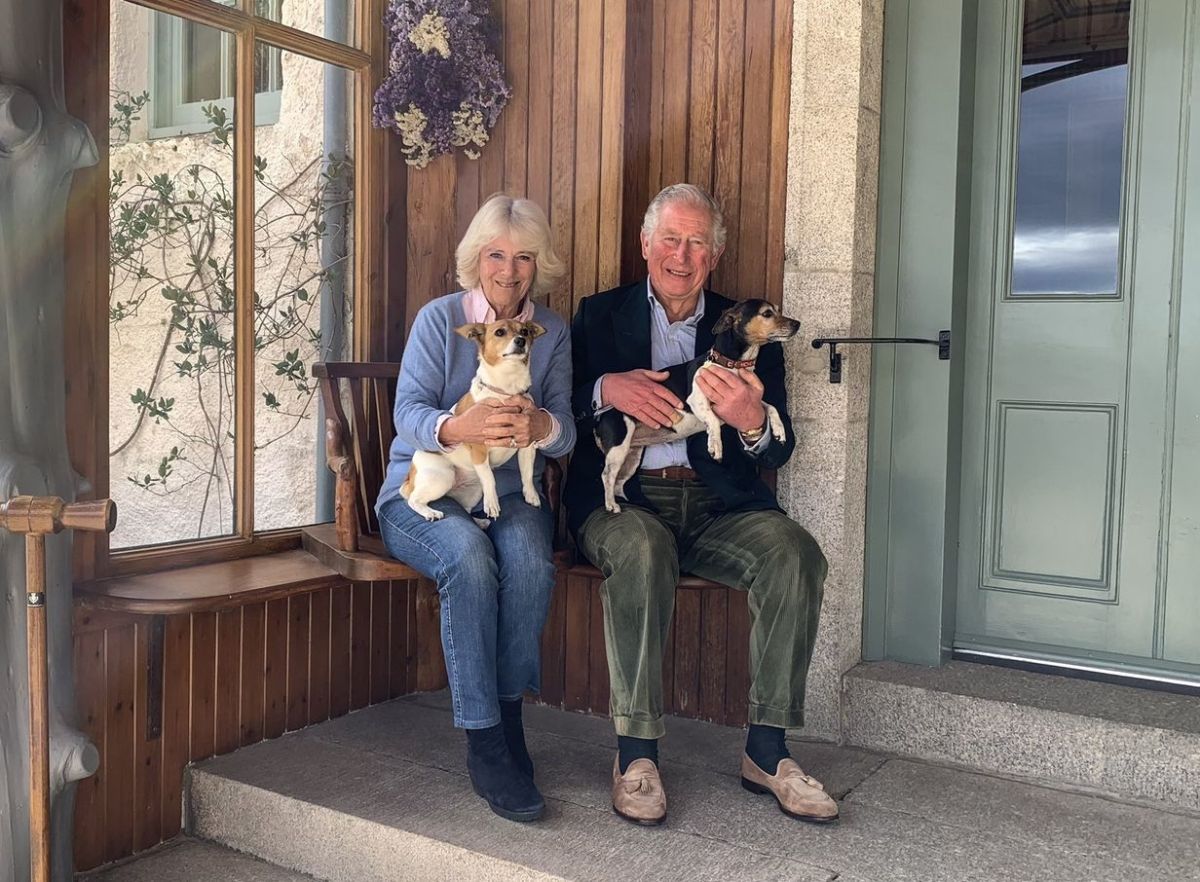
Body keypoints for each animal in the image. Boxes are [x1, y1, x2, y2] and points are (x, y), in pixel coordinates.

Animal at [401, 319, 546, 522]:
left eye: (525, 331)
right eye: (499, 332)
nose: (520, 340)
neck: (506, 391)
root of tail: (410, 476)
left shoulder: (527, 447)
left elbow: (527, 474)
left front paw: (531, 495)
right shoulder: (480, 451)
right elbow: (490, 479)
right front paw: (492, 504)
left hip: (473, 490)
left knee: (468, 511)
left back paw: (480, 522)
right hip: (442, 476)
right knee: (413, 500)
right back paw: (430, 512)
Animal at [594, 298, 800, 513]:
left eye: (777, 310)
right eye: (767, 313)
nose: (797, 324)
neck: (732, 365)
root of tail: (601, 417)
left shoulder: (749, 398)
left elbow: (771, 407)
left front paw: (779, 431)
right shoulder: (696, 399)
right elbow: (713, 421)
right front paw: (715, 446)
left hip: (631, 456)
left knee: (618, 482)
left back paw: (628, 503)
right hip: (618, 449)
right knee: (607, 476)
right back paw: (611, 505)